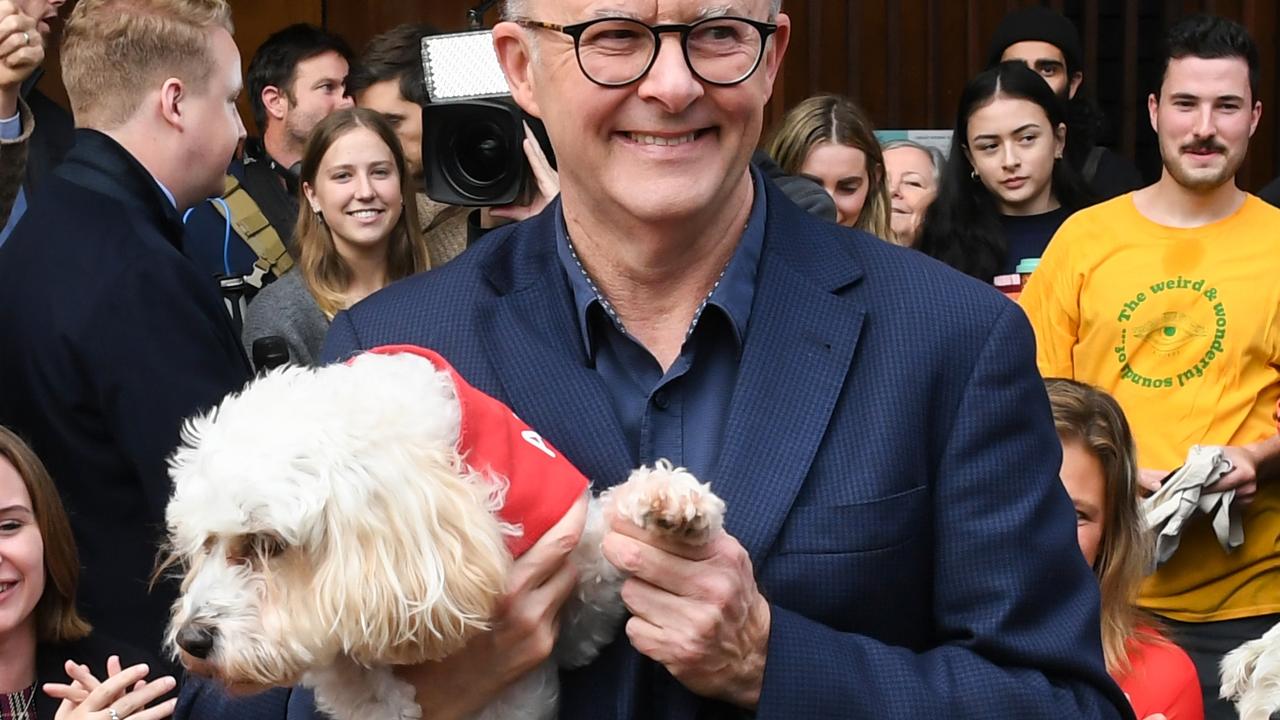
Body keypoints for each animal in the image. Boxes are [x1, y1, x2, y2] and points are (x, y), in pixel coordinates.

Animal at [161, 345, 727, 712]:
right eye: (205, 545)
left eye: (268, 543)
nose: (192, 640)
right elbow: (373, 695)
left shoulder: (577, 610)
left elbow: (601, 555)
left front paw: (669, 502)